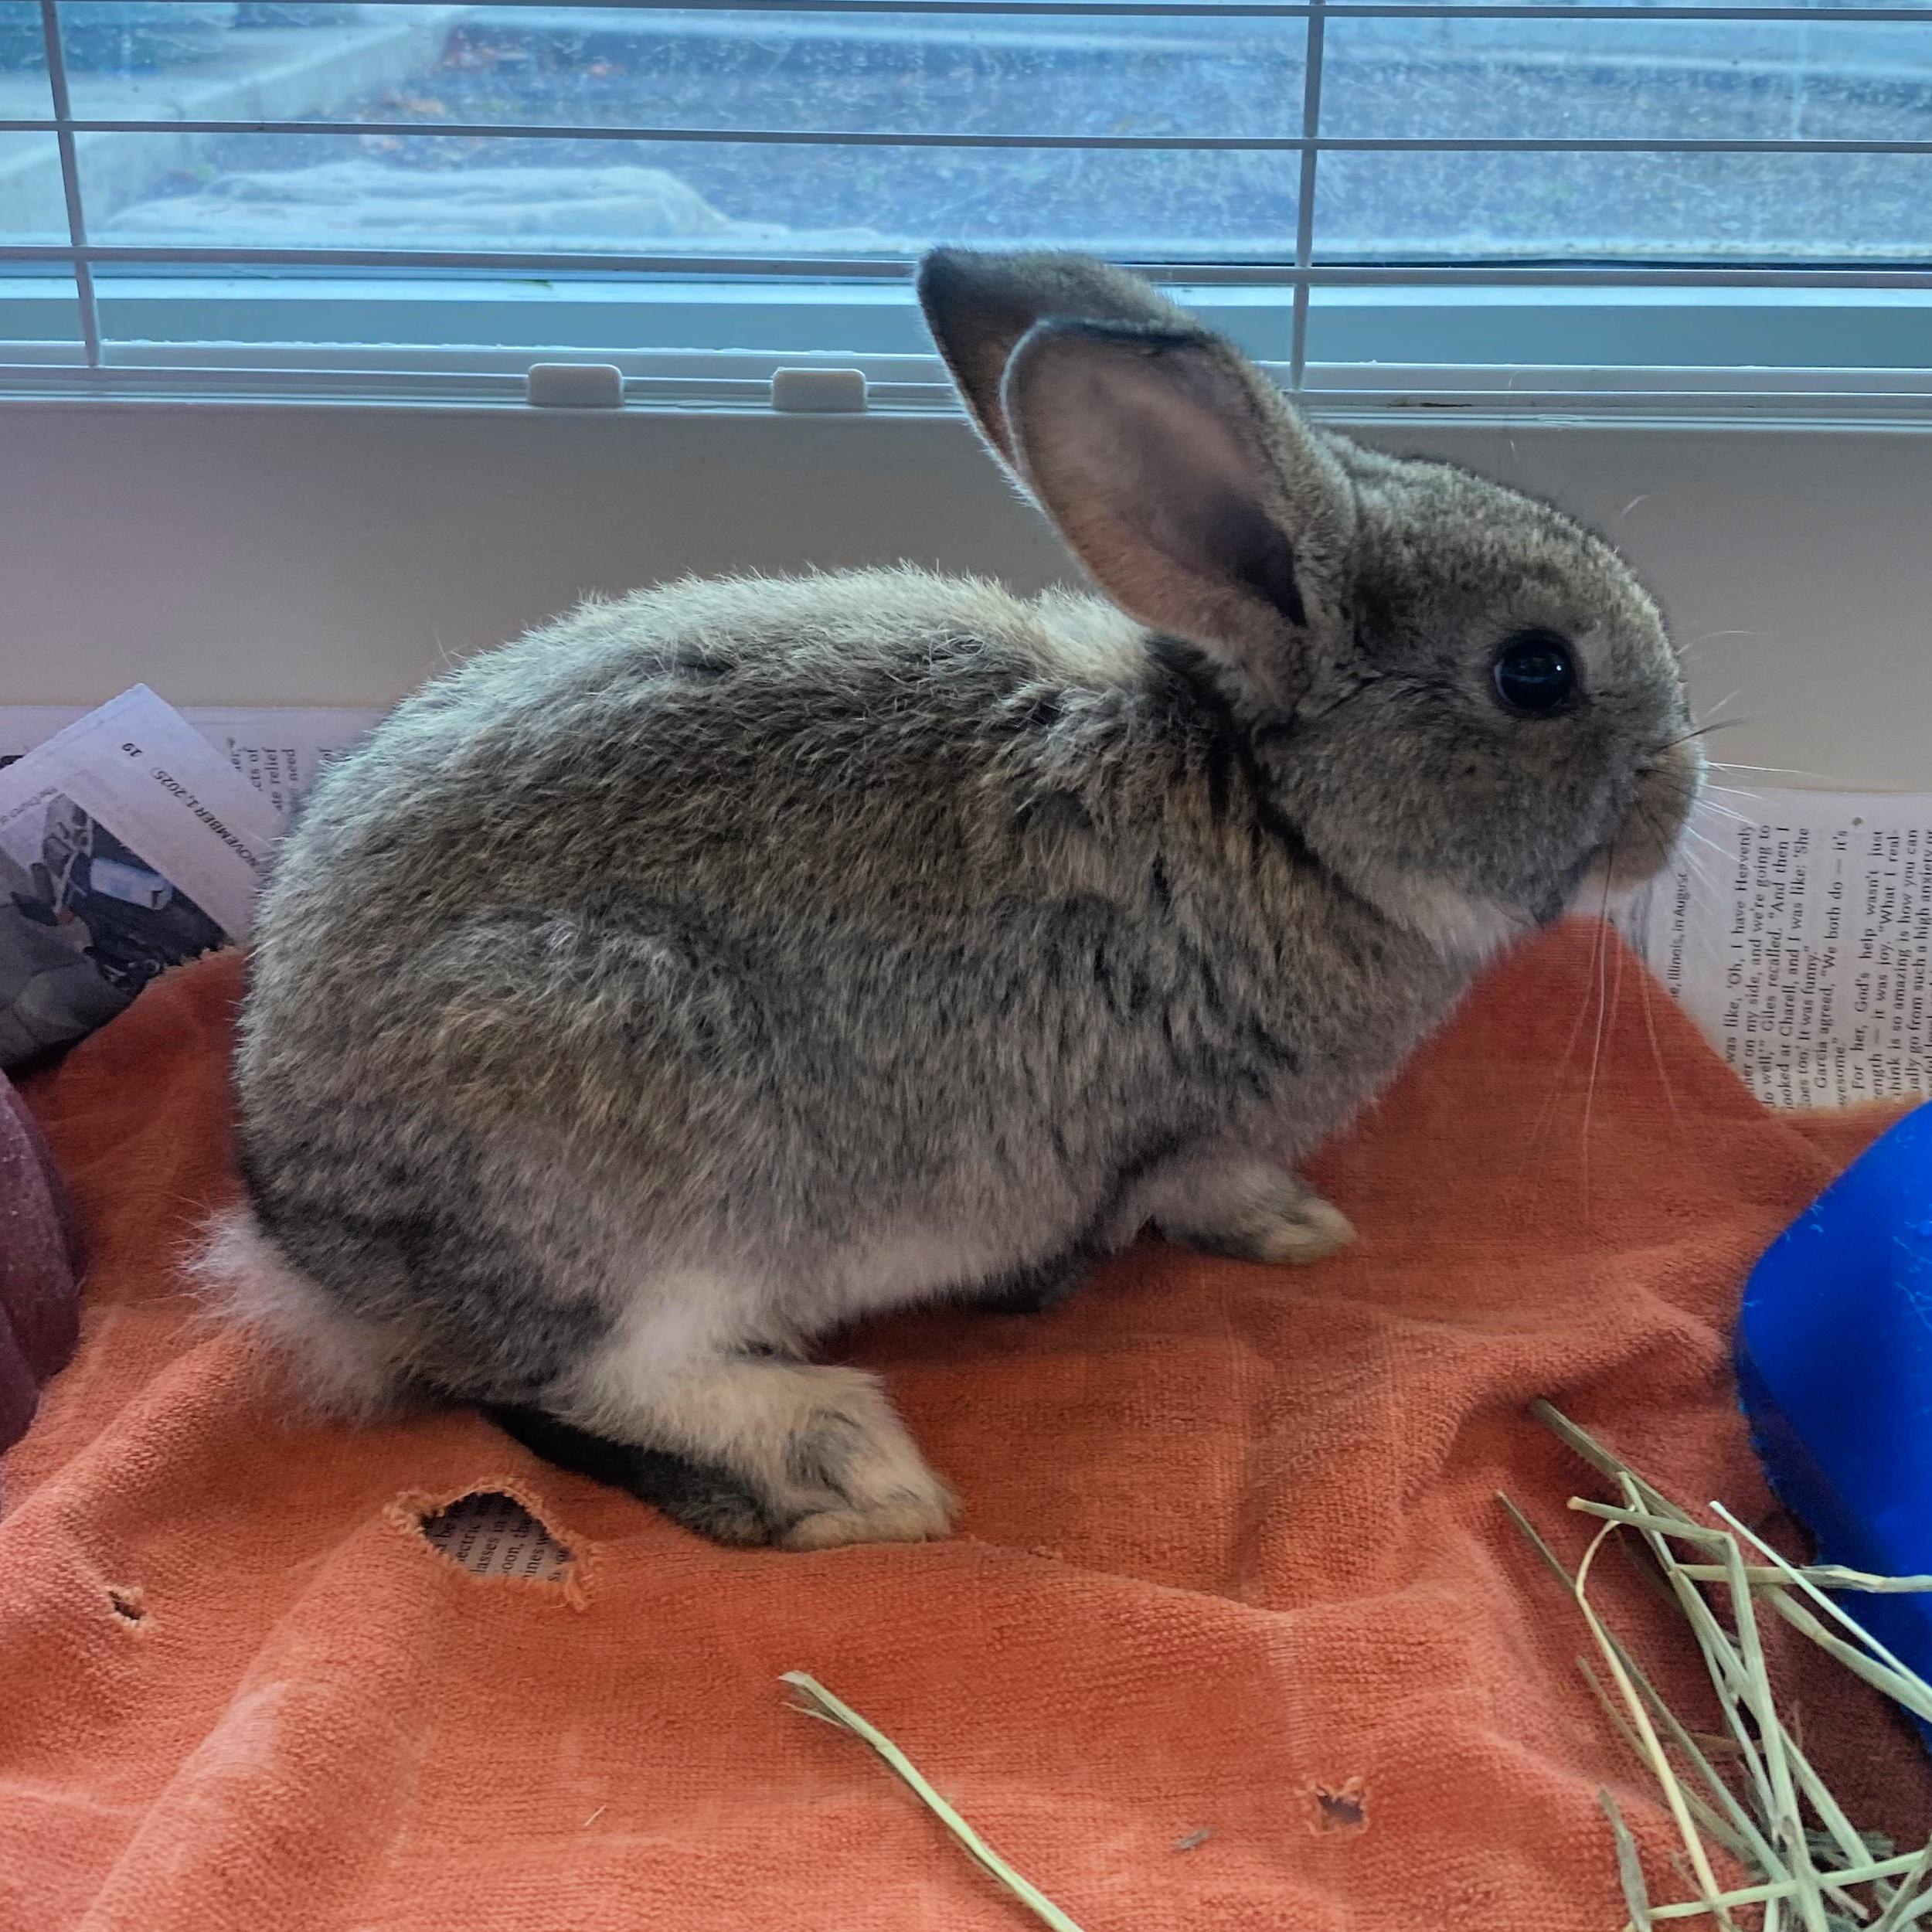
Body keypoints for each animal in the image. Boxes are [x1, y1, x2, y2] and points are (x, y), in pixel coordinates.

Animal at [202, 249, 1702, 1550]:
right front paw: (1295, 1228)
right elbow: (1198, 1188)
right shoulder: (1189, 1126)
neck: (1279, 812)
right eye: (1535, 673)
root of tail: (305, 1239)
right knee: (586, 1373)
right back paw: (852, 1466)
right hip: (643, 1134)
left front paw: (1307, 1224)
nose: (1679, 796)